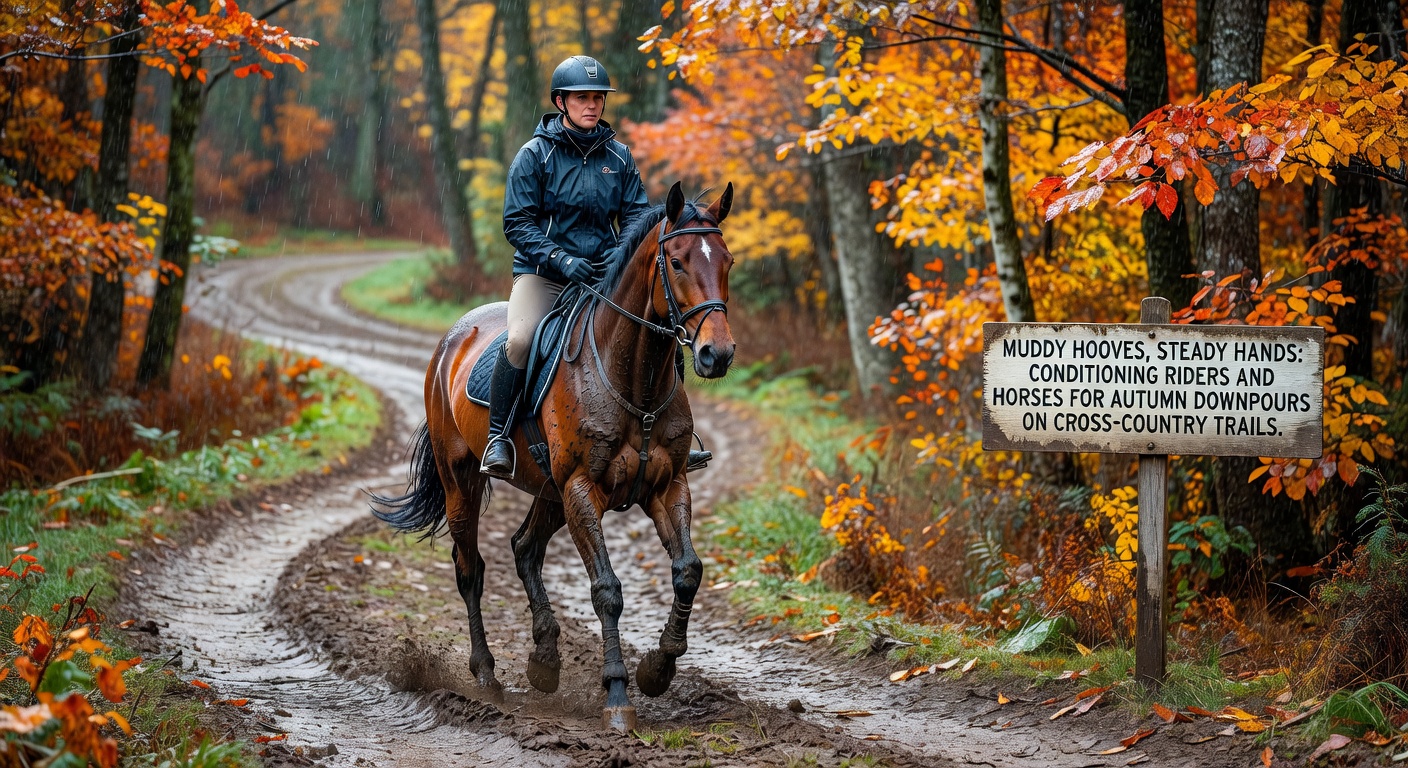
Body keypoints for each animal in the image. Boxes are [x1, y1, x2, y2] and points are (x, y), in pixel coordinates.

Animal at [371, 181, 735, 732]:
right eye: (675, 262)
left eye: (728, 261)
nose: (718, 354)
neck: (634, 378)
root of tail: (452, 338)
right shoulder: (582, 488)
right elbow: (607, 589)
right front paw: (617, 694)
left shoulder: (666, 485)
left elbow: (688, 570)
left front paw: (658, 668)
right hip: (465, 481)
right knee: (470, 569)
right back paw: (486, 675)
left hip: (549, 490)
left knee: (524, 547)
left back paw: (544, 661)